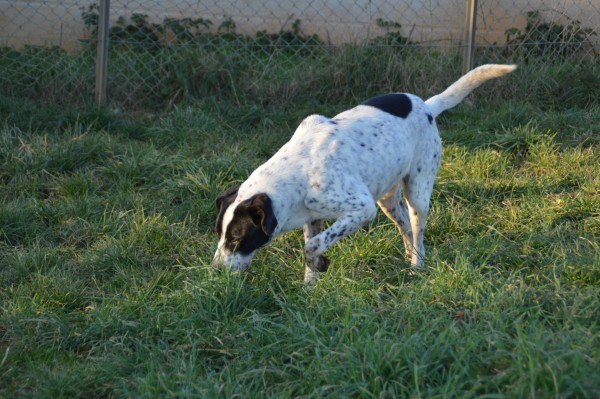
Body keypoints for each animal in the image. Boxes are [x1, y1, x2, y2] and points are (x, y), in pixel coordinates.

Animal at [213, 64, 516, 284]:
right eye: (219, 233)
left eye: (237, 239)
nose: (214, 271)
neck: (298, 170)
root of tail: (427, 106)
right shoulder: (314, 218)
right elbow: (311, 249)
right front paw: (310, 285)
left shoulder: (361, 208)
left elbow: (312, 247)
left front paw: (318, 265)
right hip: (388, 201)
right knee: (406, 229)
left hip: (417, 193)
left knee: (418, 235)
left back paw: (416, 267)